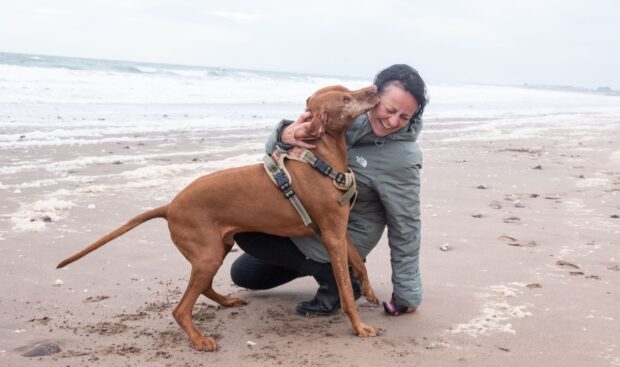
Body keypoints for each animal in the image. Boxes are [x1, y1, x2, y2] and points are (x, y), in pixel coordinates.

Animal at [55, 85, 380, 352]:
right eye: (346, 99)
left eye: (348, 90)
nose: (375, 89)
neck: (321, 159)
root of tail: (170, 206)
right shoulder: (331, 236)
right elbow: (345, 287)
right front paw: (359, 326)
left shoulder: (340, 232)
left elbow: (360, 263)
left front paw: (369, 291)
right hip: (208, 255)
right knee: (181, 309)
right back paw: (200, 340)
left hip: (216, 249)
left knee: (204, 287)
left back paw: (225, 301)